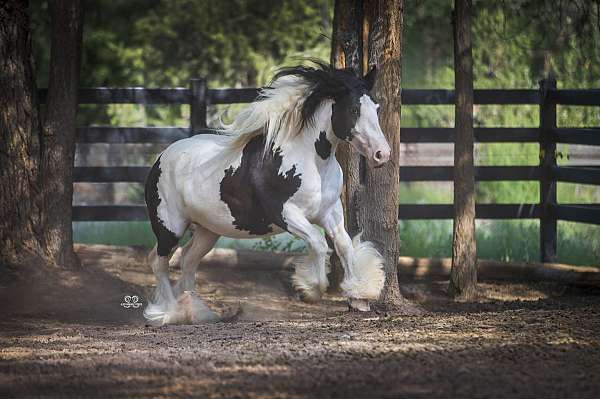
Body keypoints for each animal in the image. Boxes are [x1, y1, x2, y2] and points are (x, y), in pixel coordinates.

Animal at [143, 62, 392, 324]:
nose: (382, 154)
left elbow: (344, 245)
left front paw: (360, 295)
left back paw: (197, 313)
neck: (312, 162)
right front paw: (311, 289)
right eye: (354, 109)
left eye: (376, 107)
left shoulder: (330, 212)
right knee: (158, 262)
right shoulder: (285, 214)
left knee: (188, 261)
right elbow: (318, 241)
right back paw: (168, 313)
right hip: (170, 227)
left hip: (207, 230)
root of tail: (160, 158)